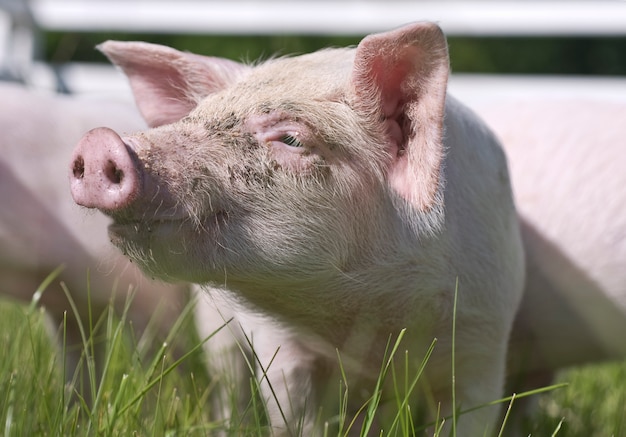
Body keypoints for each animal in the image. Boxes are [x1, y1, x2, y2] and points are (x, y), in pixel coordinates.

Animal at [69, 22, 528, 434]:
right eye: (195, 116)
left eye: (291, 139)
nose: (99, 141)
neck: (367, 320)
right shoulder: (281, 345)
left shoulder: (484, 345)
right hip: (212, 324)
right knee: (226, 383)